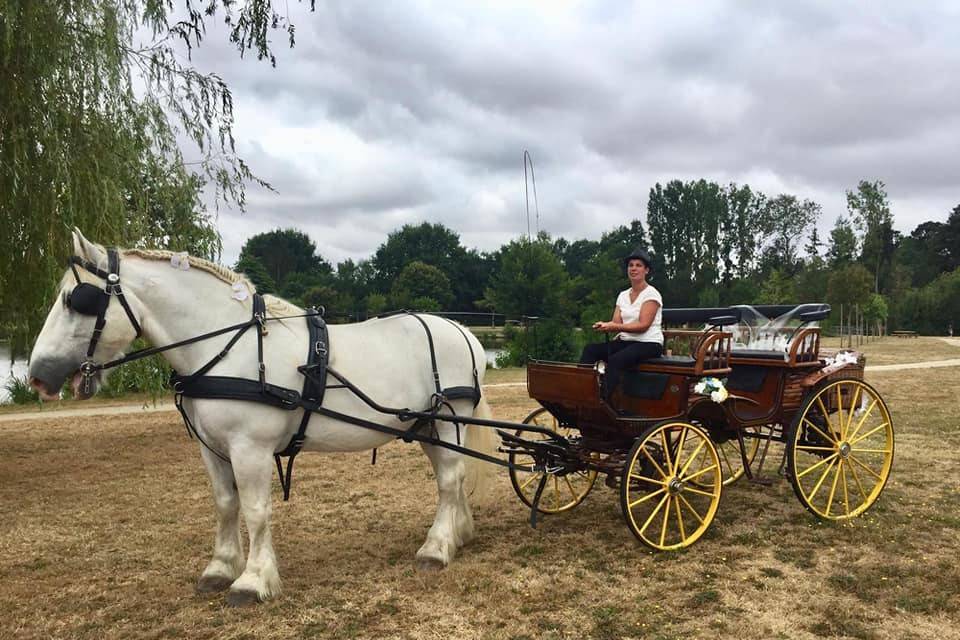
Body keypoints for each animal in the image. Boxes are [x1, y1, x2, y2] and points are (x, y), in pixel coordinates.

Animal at [30, 230, 496, 604]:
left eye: (76, 301)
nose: (37, 376)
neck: (227, 347)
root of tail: (465, 331)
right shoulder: (212, 449)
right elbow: (225, 504)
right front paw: (220, 568)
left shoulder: (249, 448)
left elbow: (255, 509)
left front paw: (253, 581)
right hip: (427, 425)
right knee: (449, 478)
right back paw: (458, 534)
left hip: (450, 419)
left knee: (450, 478)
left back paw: (435, 548)